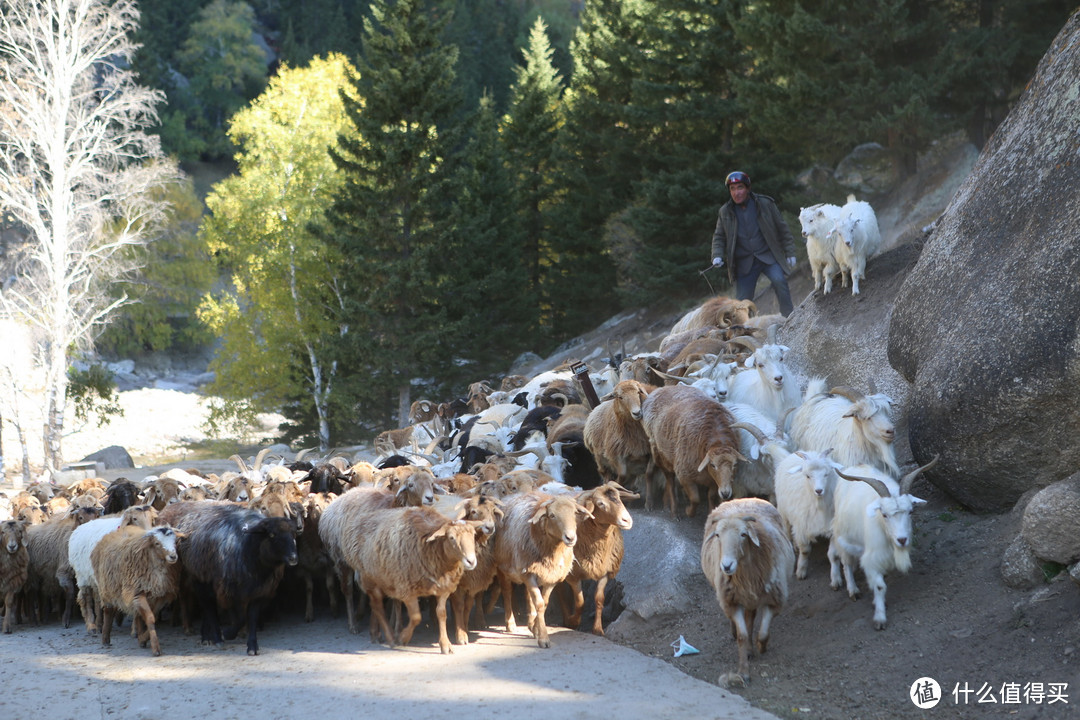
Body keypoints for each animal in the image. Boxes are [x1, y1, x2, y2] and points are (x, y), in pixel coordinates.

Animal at [91, 524, 182, 660]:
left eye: (175, 541)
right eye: (157, 543)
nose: (173, 556)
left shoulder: (161, 595)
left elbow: (154, 617)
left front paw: (143, 639)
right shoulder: (137, 593)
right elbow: (150, 618)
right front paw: (156, 649)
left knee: (137, 614)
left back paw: (139, 638)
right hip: (107, 588)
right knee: (108, 611)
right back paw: (105, 639)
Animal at [635, 386, 747, 515]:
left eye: (735, 465)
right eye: (713, 465)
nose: (725, 493)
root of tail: (662, 388)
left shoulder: (713, 480)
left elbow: (711, 496)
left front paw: (711, 511)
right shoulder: (685, 476)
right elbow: (695, 498)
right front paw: (689, 511)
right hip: (661, 453)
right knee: (668, 479)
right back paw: (672, 509)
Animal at [699, 498, 794, 686]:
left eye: (743, 534)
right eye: (718, 535)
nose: (726, 566)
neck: (746, 573)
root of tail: (740, 499)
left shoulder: (775, 600)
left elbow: (763, 633)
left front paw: (761, 647)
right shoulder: (732, 602)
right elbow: (742, 637)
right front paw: (743, 672)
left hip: (752, 597)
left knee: (751, 617)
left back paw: (752, 647)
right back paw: (737, 634)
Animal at [829, 455, 941, 630]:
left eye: (911, 511)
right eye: (884, 514)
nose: (902, 540)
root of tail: (857, 465)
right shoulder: (873, 557)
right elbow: (879, 586)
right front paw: (880, 619)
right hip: (842, 536)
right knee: (845, 562)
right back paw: (853, 590)